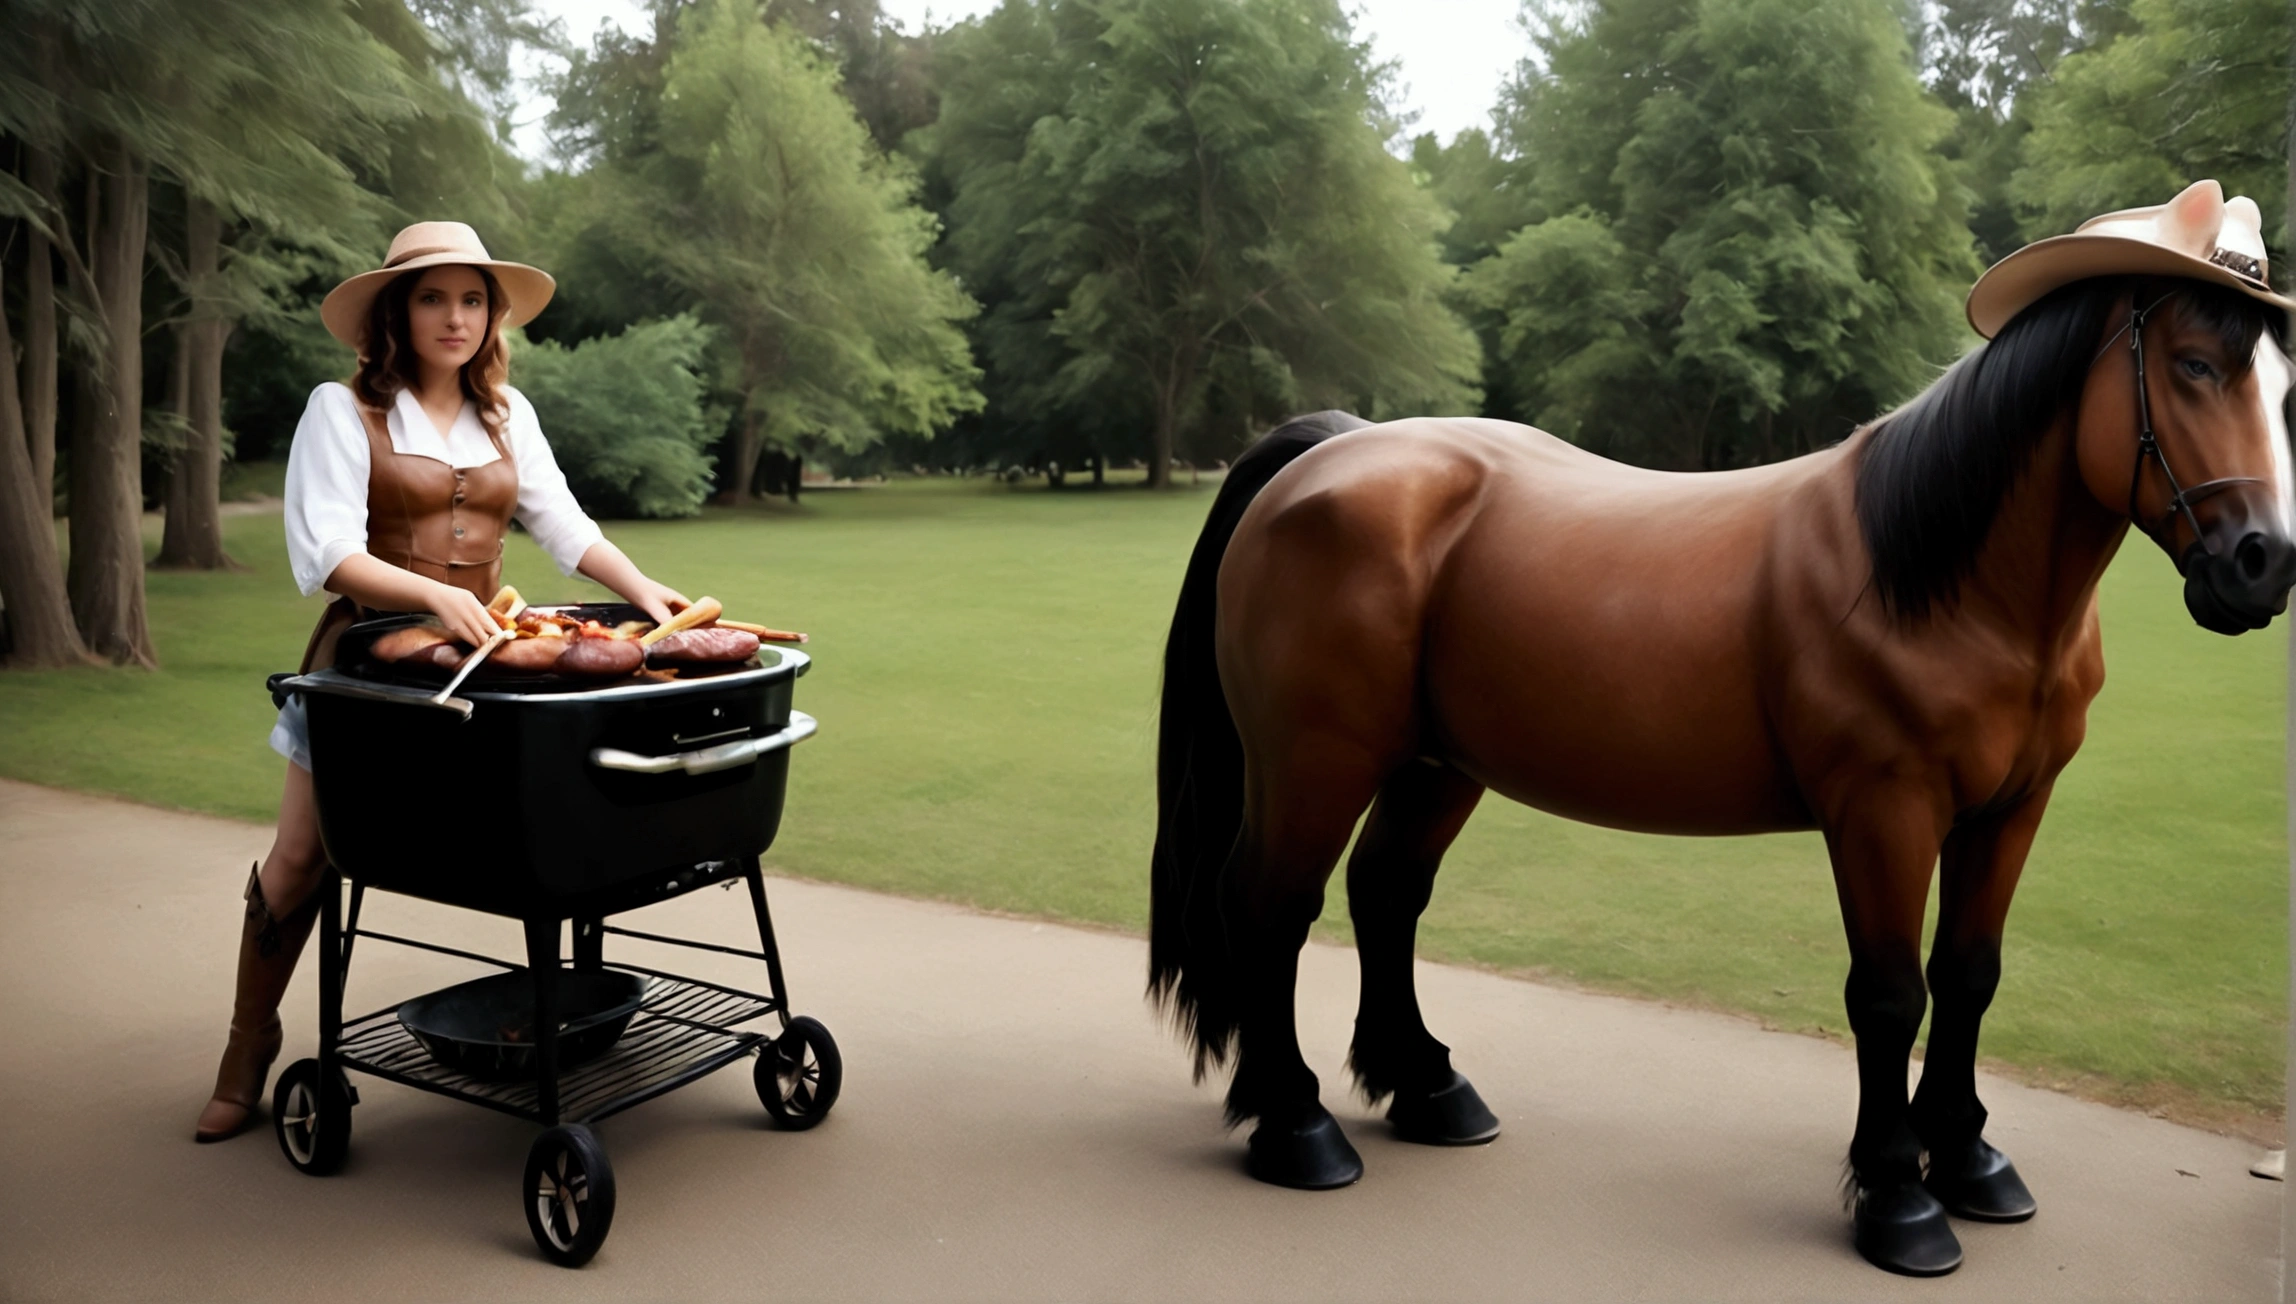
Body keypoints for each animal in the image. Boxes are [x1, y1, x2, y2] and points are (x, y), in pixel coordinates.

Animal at [1148, 275, 2296, 1276]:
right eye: (2194, 364)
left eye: (2281, 383)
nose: (2263, 564)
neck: (1939, 576)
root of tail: (1336, 447)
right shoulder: (1884, 810)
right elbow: (1891, 994)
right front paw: (1899, 1197)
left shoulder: (2010, 809)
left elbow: (1969, 975)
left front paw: (1968, 1157)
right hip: (1315, 762)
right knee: (1269, 906)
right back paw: (1295, 1124)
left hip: (1437, 766)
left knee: (1386, 893)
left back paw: (1426, 1086)